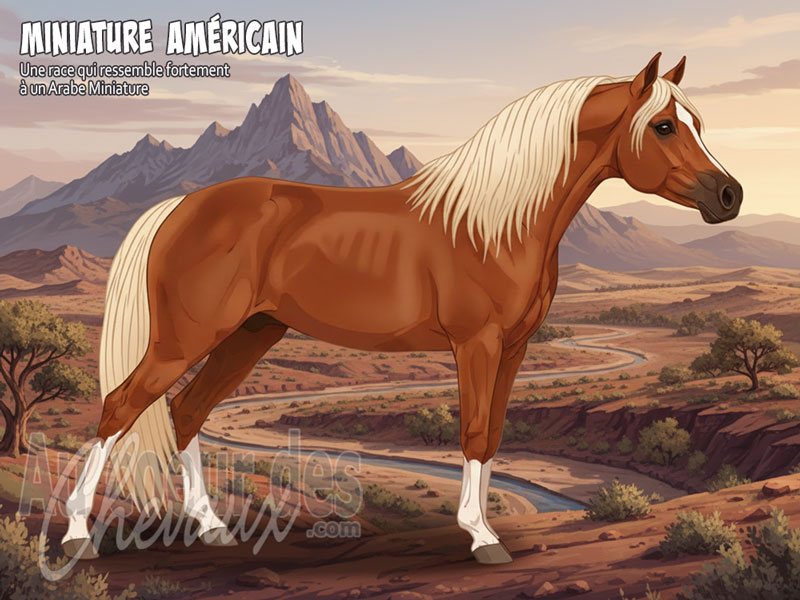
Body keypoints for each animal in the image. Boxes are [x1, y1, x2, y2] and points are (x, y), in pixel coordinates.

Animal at [61, 53, 741, 564]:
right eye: (663, 126)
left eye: (698, 121)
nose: (730, 195)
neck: (497, 223)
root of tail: (178, 206)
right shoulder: (477, 343)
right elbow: (473, 433)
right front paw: (482, 539)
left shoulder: (514, 348)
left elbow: (494, 435)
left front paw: (483, 528)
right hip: (186, 337)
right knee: (120, 408)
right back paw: (77, 536)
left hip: (249, 334)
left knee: (185, 414)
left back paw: (211, 528)